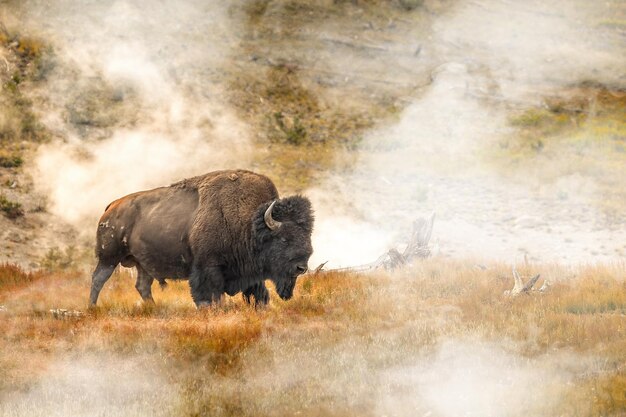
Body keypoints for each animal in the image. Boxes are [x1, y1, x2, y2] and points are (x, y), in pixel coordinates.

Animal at [88, 167, 312, 308]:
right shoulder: (208, 268)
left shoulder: (250, 274)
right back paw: (92, 307)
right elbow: (210, 295)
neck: (248, 222)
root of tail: (112, 206)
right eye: (284, 239)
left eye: (308, 234)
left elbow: (259, 295)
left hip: (142, 264)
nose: (302, 267)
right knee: (98, 279)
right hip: (109, 258)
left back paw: (153, 307)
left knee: (142, 286)